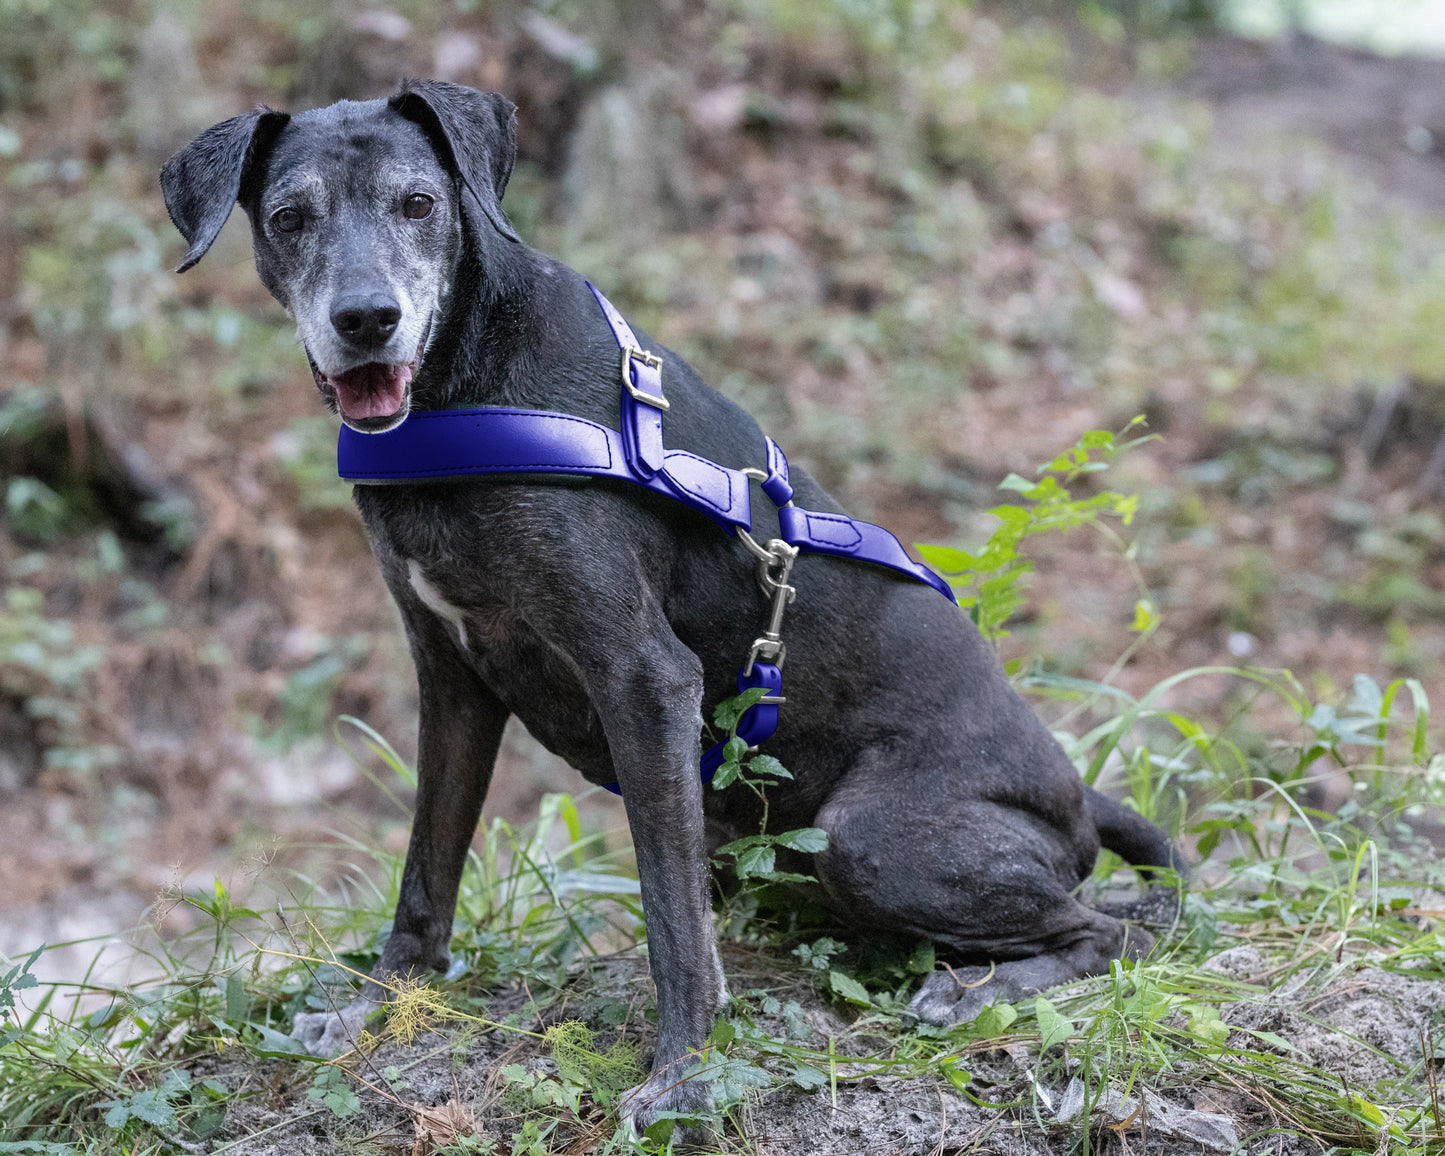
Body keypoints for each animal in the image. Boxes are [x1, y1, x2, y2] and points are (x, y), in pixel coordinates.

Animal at [161, 83, 1184, 1138]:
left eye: (418, 203)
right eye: (290, 217)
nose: (368, 319)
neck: (461, 388)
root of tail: (1078, 799)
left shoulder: (643, 678)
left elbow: (669, 917)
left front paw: (684, 1075)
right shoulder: (451, 679)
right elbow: (424, 871)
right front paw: (378, 1004)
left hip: (869, 836)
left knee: (1116, 933)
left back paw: (977, 989)